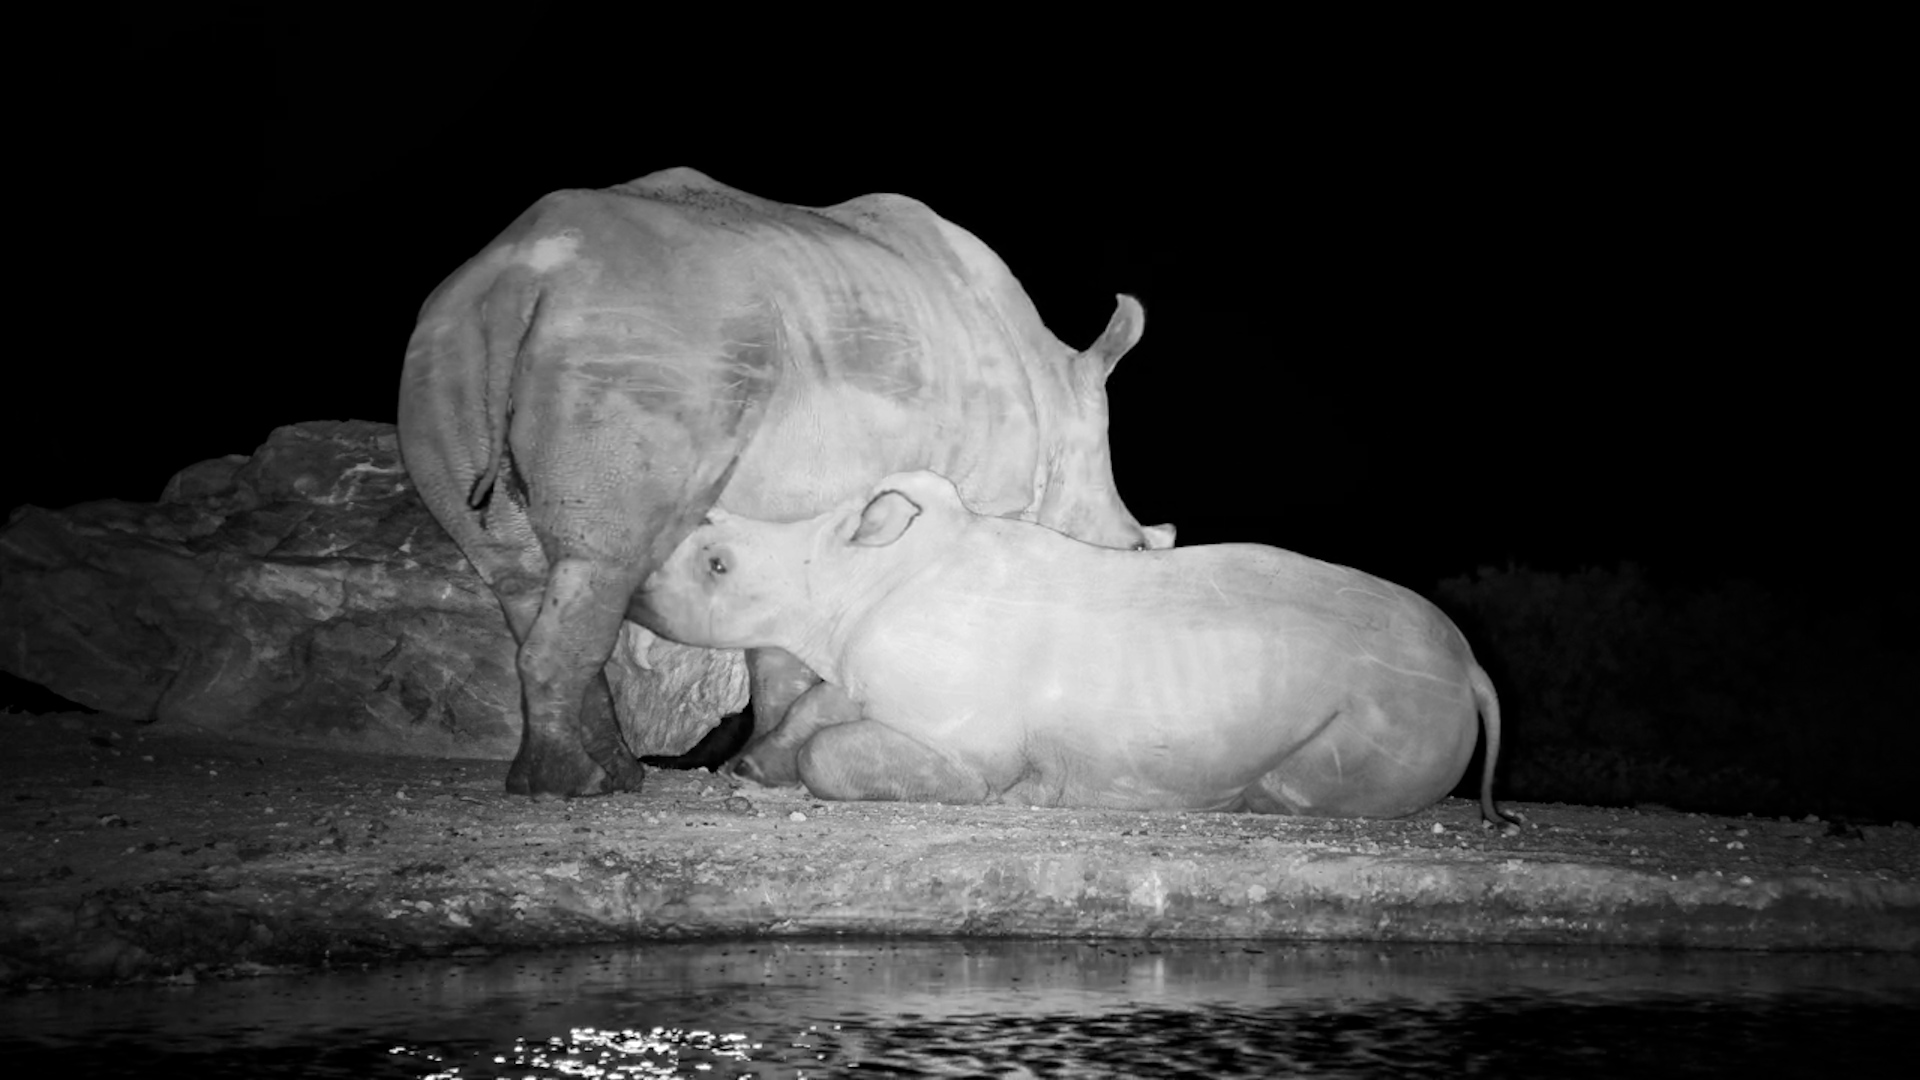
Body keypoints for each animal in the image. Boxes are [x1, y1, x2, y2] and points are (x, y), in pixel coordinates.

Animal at [399, 168, 1169, 797]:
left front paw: (761, 766)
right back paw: (573, 785)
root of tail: (517, 282)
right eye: (1134, 552)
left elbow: (777, 648)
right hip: (639, 340)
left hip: (450, 342)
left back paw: (603, 779)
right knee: (603, 558)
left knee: (518, 570)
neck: (1057, 396)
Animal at [637, 470, 1519, 826]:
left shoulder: (967, 746)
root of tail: (1473, 668)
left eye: (717, 566)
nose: (636, 593)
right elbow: (818, 711)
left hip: (1397, 702)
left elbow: (839, 752)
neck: (851, 572)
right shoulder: (860, 673)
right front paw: (750, 769)